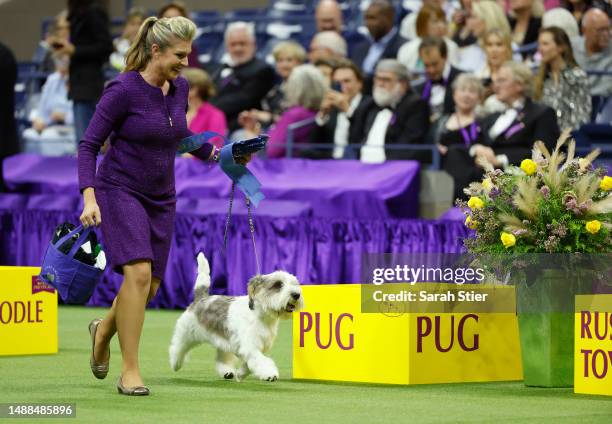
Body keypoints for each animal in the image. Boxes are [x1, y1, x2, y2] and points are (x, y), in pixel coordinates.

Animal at [167, 253, 304, 382]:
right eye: (278, 285)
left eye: (294, 284)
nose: (296, 294)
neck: (260, 315)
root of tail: (201, 298)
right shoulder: (250, 347)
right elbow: (260, 361)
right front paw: (269, 374)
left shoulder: (256, 347)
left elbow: (250, 364)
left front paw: (241, 374)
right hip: (186, 333)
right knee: (177, 347)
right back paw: (175, 363)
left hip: (224, 341)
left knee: (222, 358)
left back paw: (227, 372)